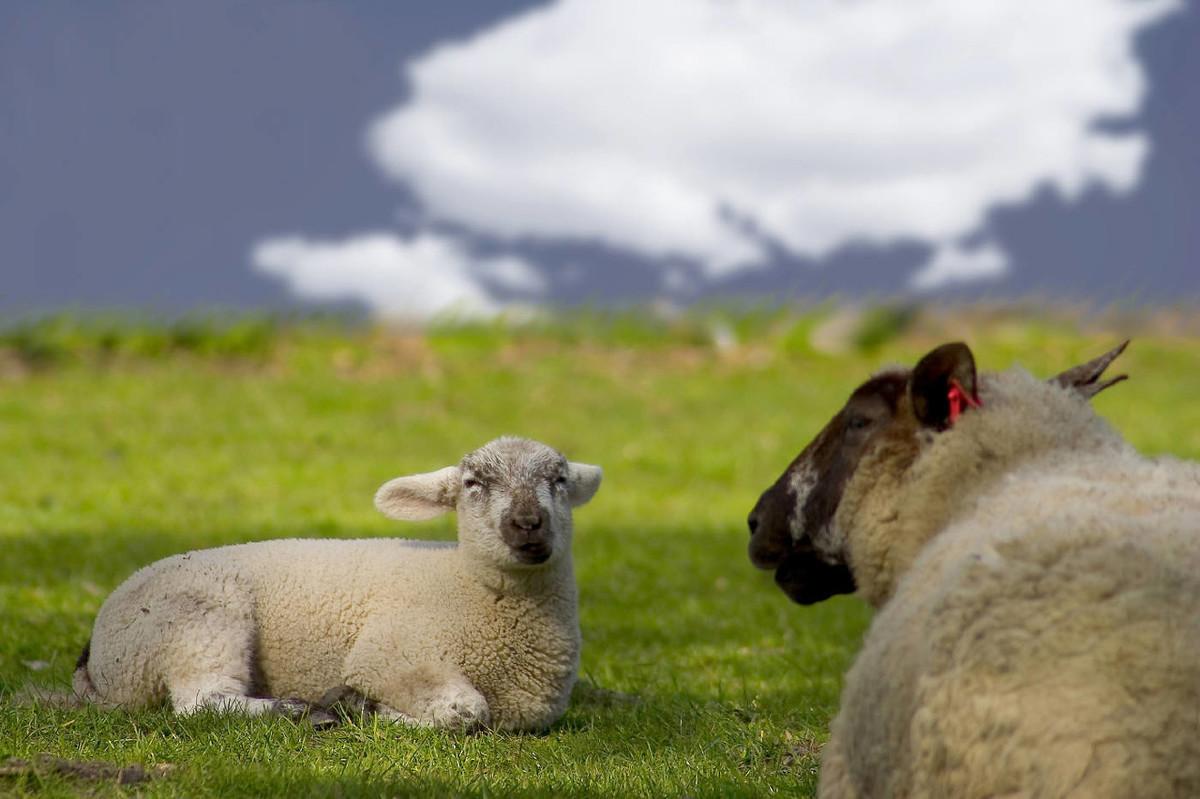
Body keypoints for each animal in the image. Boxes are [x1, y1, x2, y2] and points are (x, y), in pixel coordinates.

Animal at [65, 436, 600, 729]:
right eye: (474, 484)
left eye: (558, 480)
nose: (528, 524)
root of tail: (95, 655)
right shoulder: (389, 652)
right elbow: (466, 711)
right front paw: (366, 708)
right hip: (194, 620)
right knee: (202, 702)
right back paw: (298, 710)